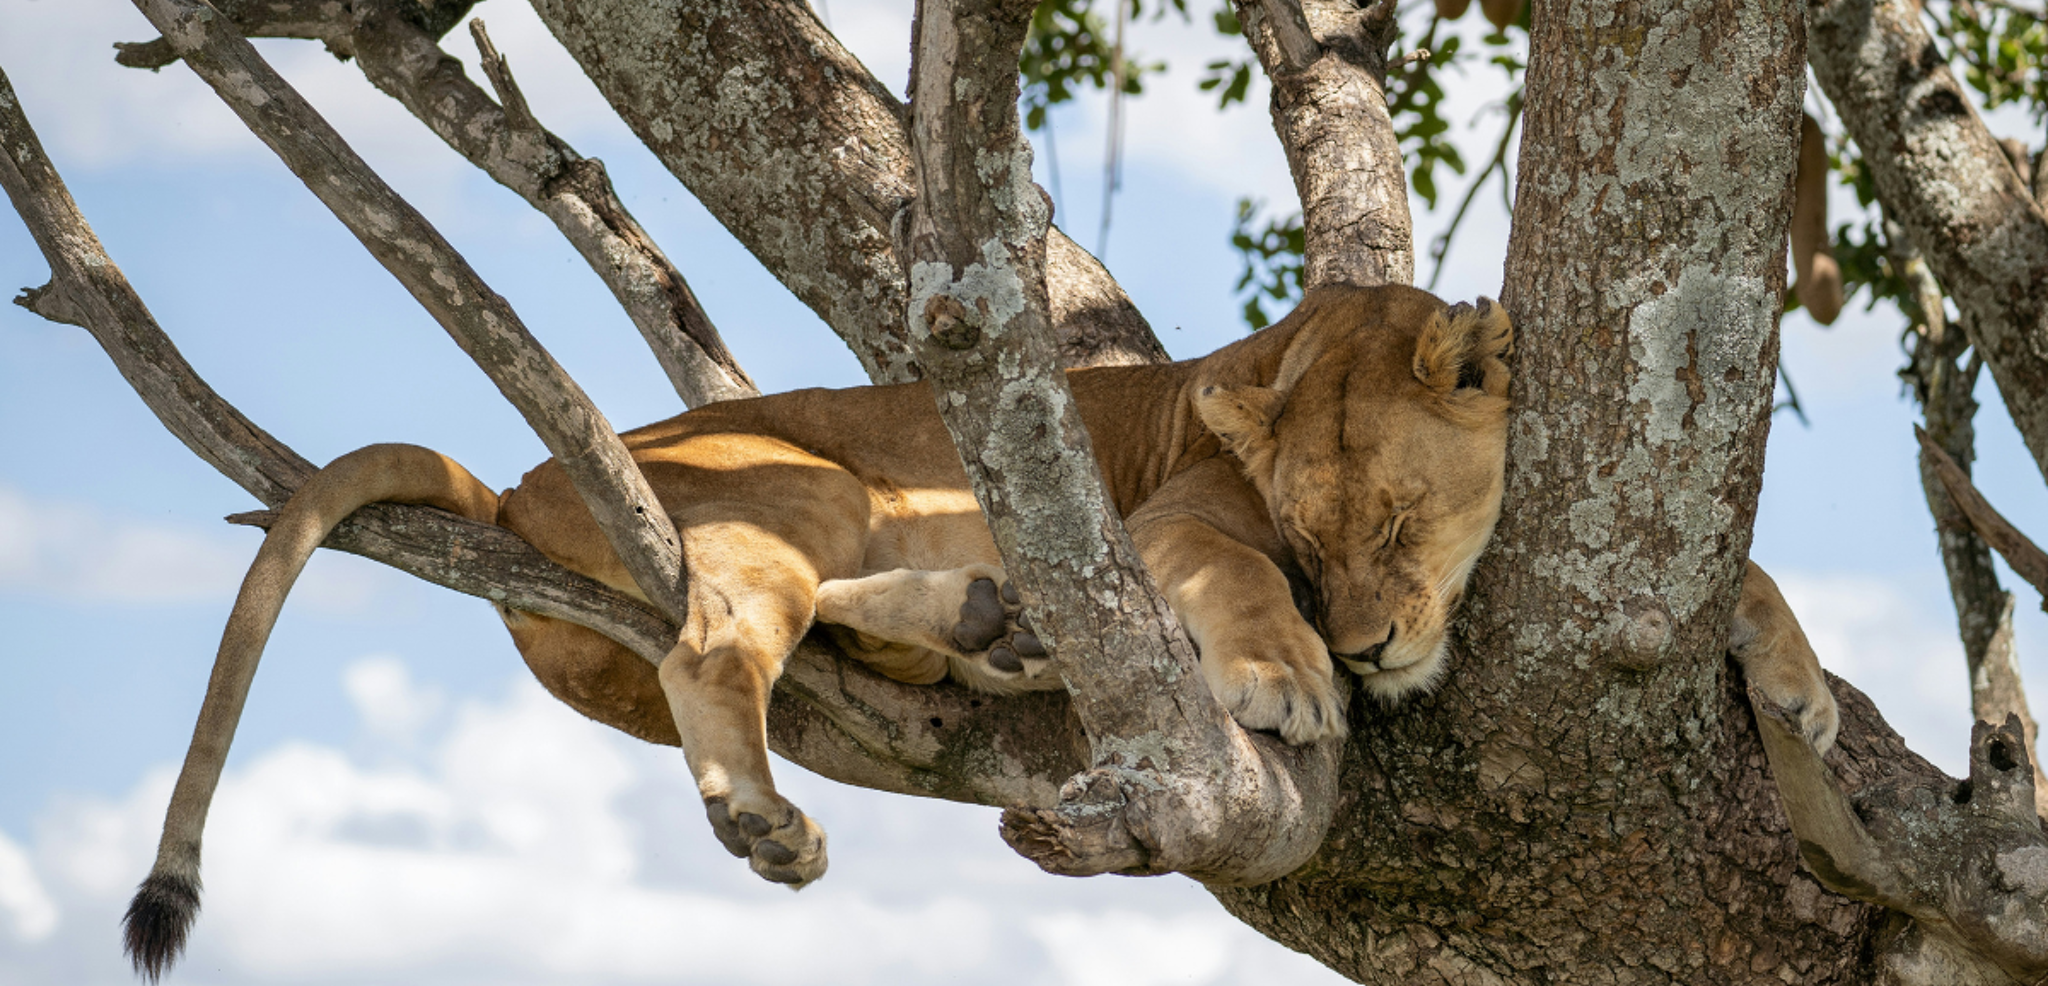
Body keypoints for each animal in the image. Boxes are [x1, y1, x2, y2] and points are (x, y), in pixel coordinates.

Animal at [122, 284, 1839, 979]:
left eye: (1404, 527)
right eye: (1314, 539)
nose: (1363, 649)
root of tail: (526, 472)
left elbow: (1746, 574)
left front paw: (1804, 689)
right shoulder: (1169, 526)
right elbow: (1234, 585)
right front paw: (1286, 680)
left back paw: (988, 626)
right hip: (798, 483)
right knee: (716, 641)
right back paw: (782, 799)